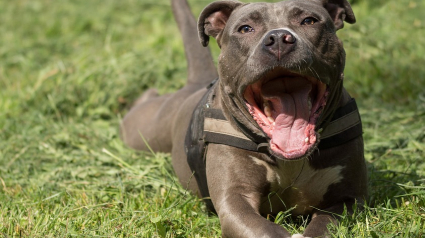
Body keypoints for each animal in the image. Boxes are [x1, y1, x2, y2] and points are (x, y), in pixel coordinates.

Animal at [121, 0, 366, 236]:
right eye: (246, 28)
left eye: (309, 20)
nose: (279, 38)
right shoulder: (234, 200)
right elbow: (263, 229)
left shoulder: (348, 198)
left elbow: (325, 225)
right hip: (143, 130)